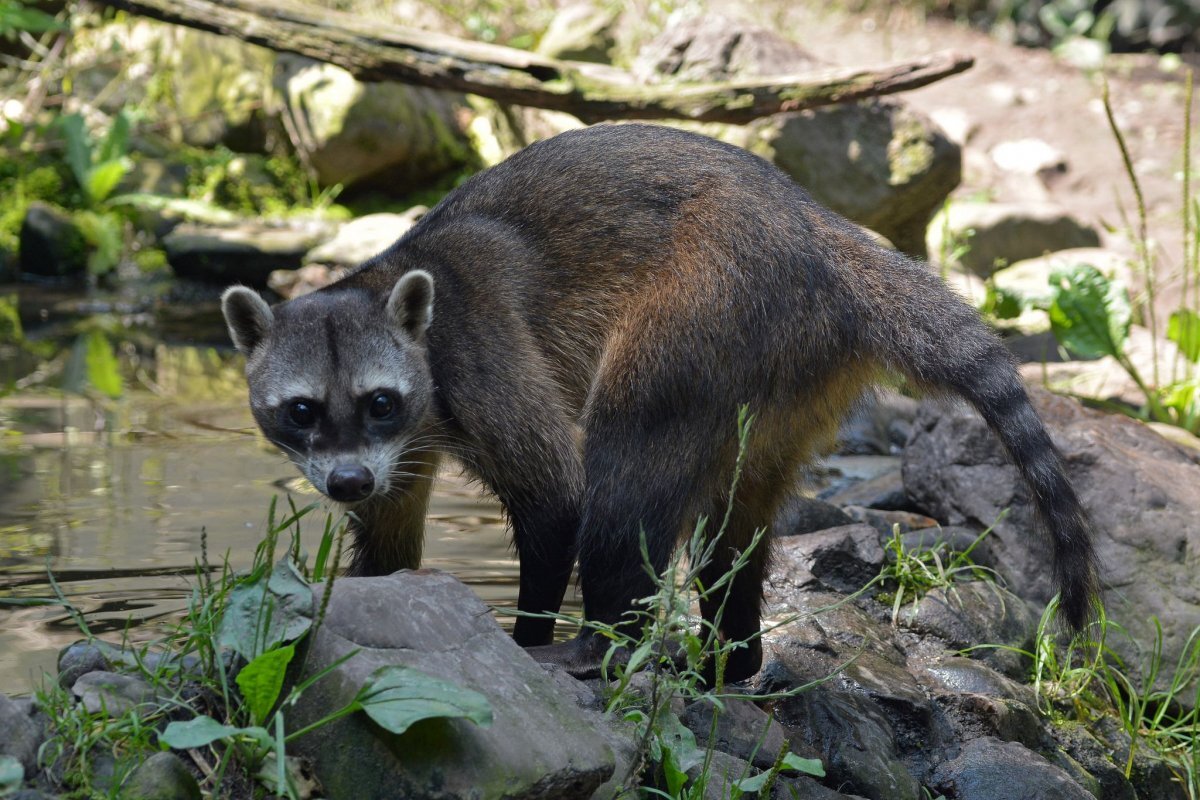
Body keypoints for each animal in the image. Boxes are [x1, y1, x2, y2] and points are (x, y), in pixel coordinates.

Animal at [223, 123, 1099, 681]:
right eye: (301, 410)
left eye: (378, 400)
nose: (346, 484)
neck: (385, 287)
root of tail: (831, 238)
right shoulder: (398, 456)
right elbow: (389, 541)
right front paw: (375, 596)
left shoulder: (483, 358)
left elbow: (556, 499)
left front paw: (525, 633)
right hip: (787, 381)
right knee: (737, 525)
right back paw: (733, 657)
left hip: (705, 309)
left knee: (626, 474)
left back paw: (600, 647)